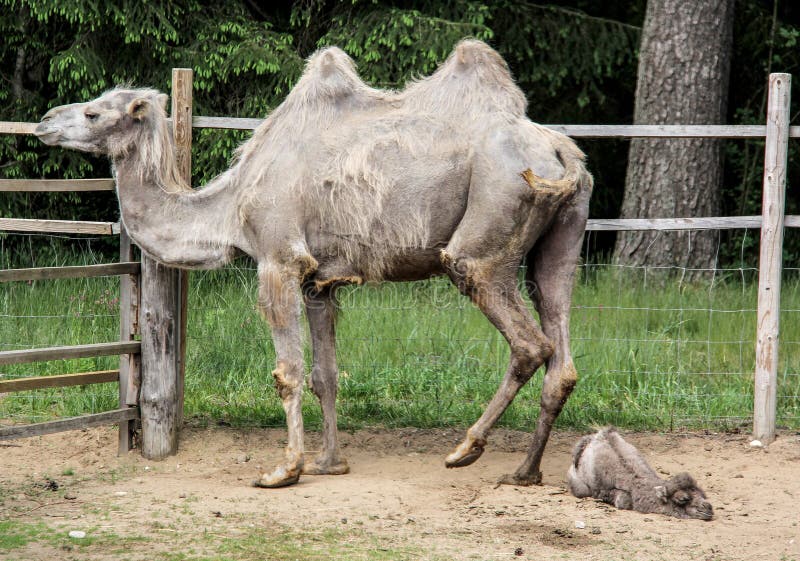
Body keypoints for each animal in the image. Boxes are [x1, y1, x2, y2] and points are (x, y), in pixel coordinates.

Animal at [34, 38, 592, 486]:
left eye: (93, 112)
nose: (43, 121)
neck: (230, 207)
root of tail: (560, 154)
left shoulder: (278, 260)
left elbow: (289, 370)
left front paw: (286, 469)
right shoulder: (320, 281)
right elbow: (326, 373)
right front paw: (330, 463)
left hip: (488, 227)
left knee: (526, 339)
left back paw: (465, 450)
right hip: (564, 236)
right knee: (560, 347)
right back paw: (525, 471)